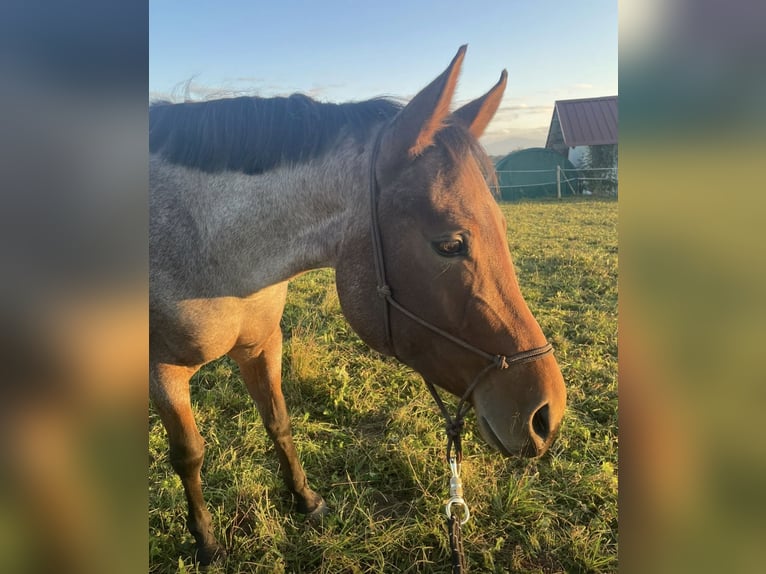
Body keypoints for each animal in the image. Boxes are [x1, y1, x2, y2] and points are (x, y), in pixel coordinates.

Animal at [149, 45, 566, 564]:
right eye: (450, 244)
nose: (548, 415)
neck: (210, 245)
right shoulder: (163, 371)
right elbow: (189, 454)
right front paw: (205, 540)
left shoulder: (262, 345)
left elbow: (278, 422)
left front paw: (305, 498)